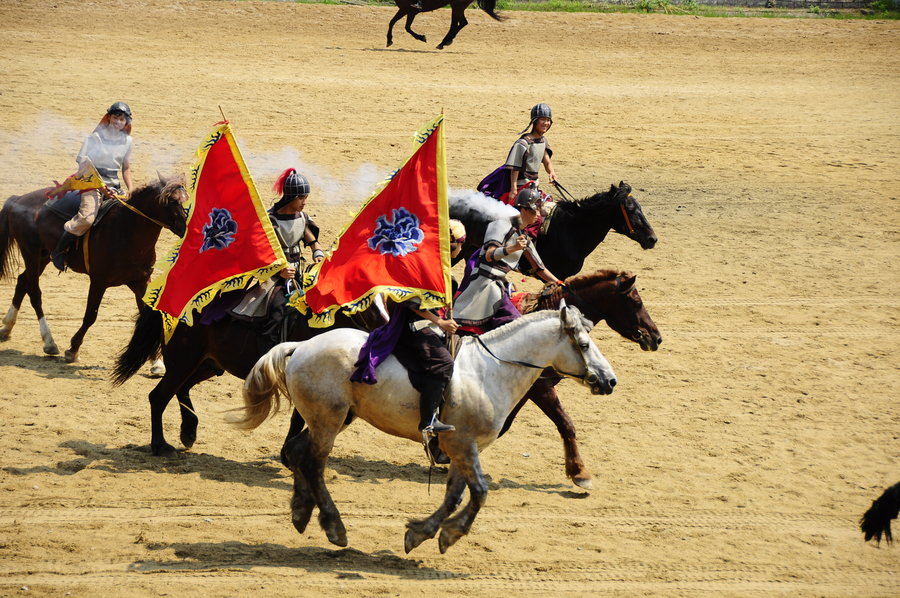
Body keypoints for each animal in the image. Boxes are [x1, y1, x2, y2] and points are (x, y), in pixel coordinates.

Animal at [0, 180, 188, 364]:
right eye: (172, 201)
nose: (186, 228)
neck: (126, 230)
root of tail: (19, 199)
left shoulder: (140, 281)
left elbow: (146, 315)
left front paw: (156, 362)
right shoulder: (99, 281)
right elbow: (91, 315)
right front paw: (73, 349)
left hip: (44, 256)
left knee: (23, 281)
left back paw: (7, 327)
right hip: (30, 252)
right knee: (34, 292)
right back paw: (49, 341)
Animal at [237, 308, 620, 556]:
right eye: (585, 345)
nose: (610, 380)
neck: (491, 370)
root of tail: (300, 346)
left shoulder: (460, 448)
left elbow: (455, 496)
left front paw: (422, 533)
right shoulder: (463, 445)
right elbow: (480, 493)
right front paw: (449, 535)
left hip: (333, 418)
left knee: (298, 452)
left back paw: (301, 511)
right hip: (328, 421)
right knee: (314, 463)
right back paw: (333, 526)